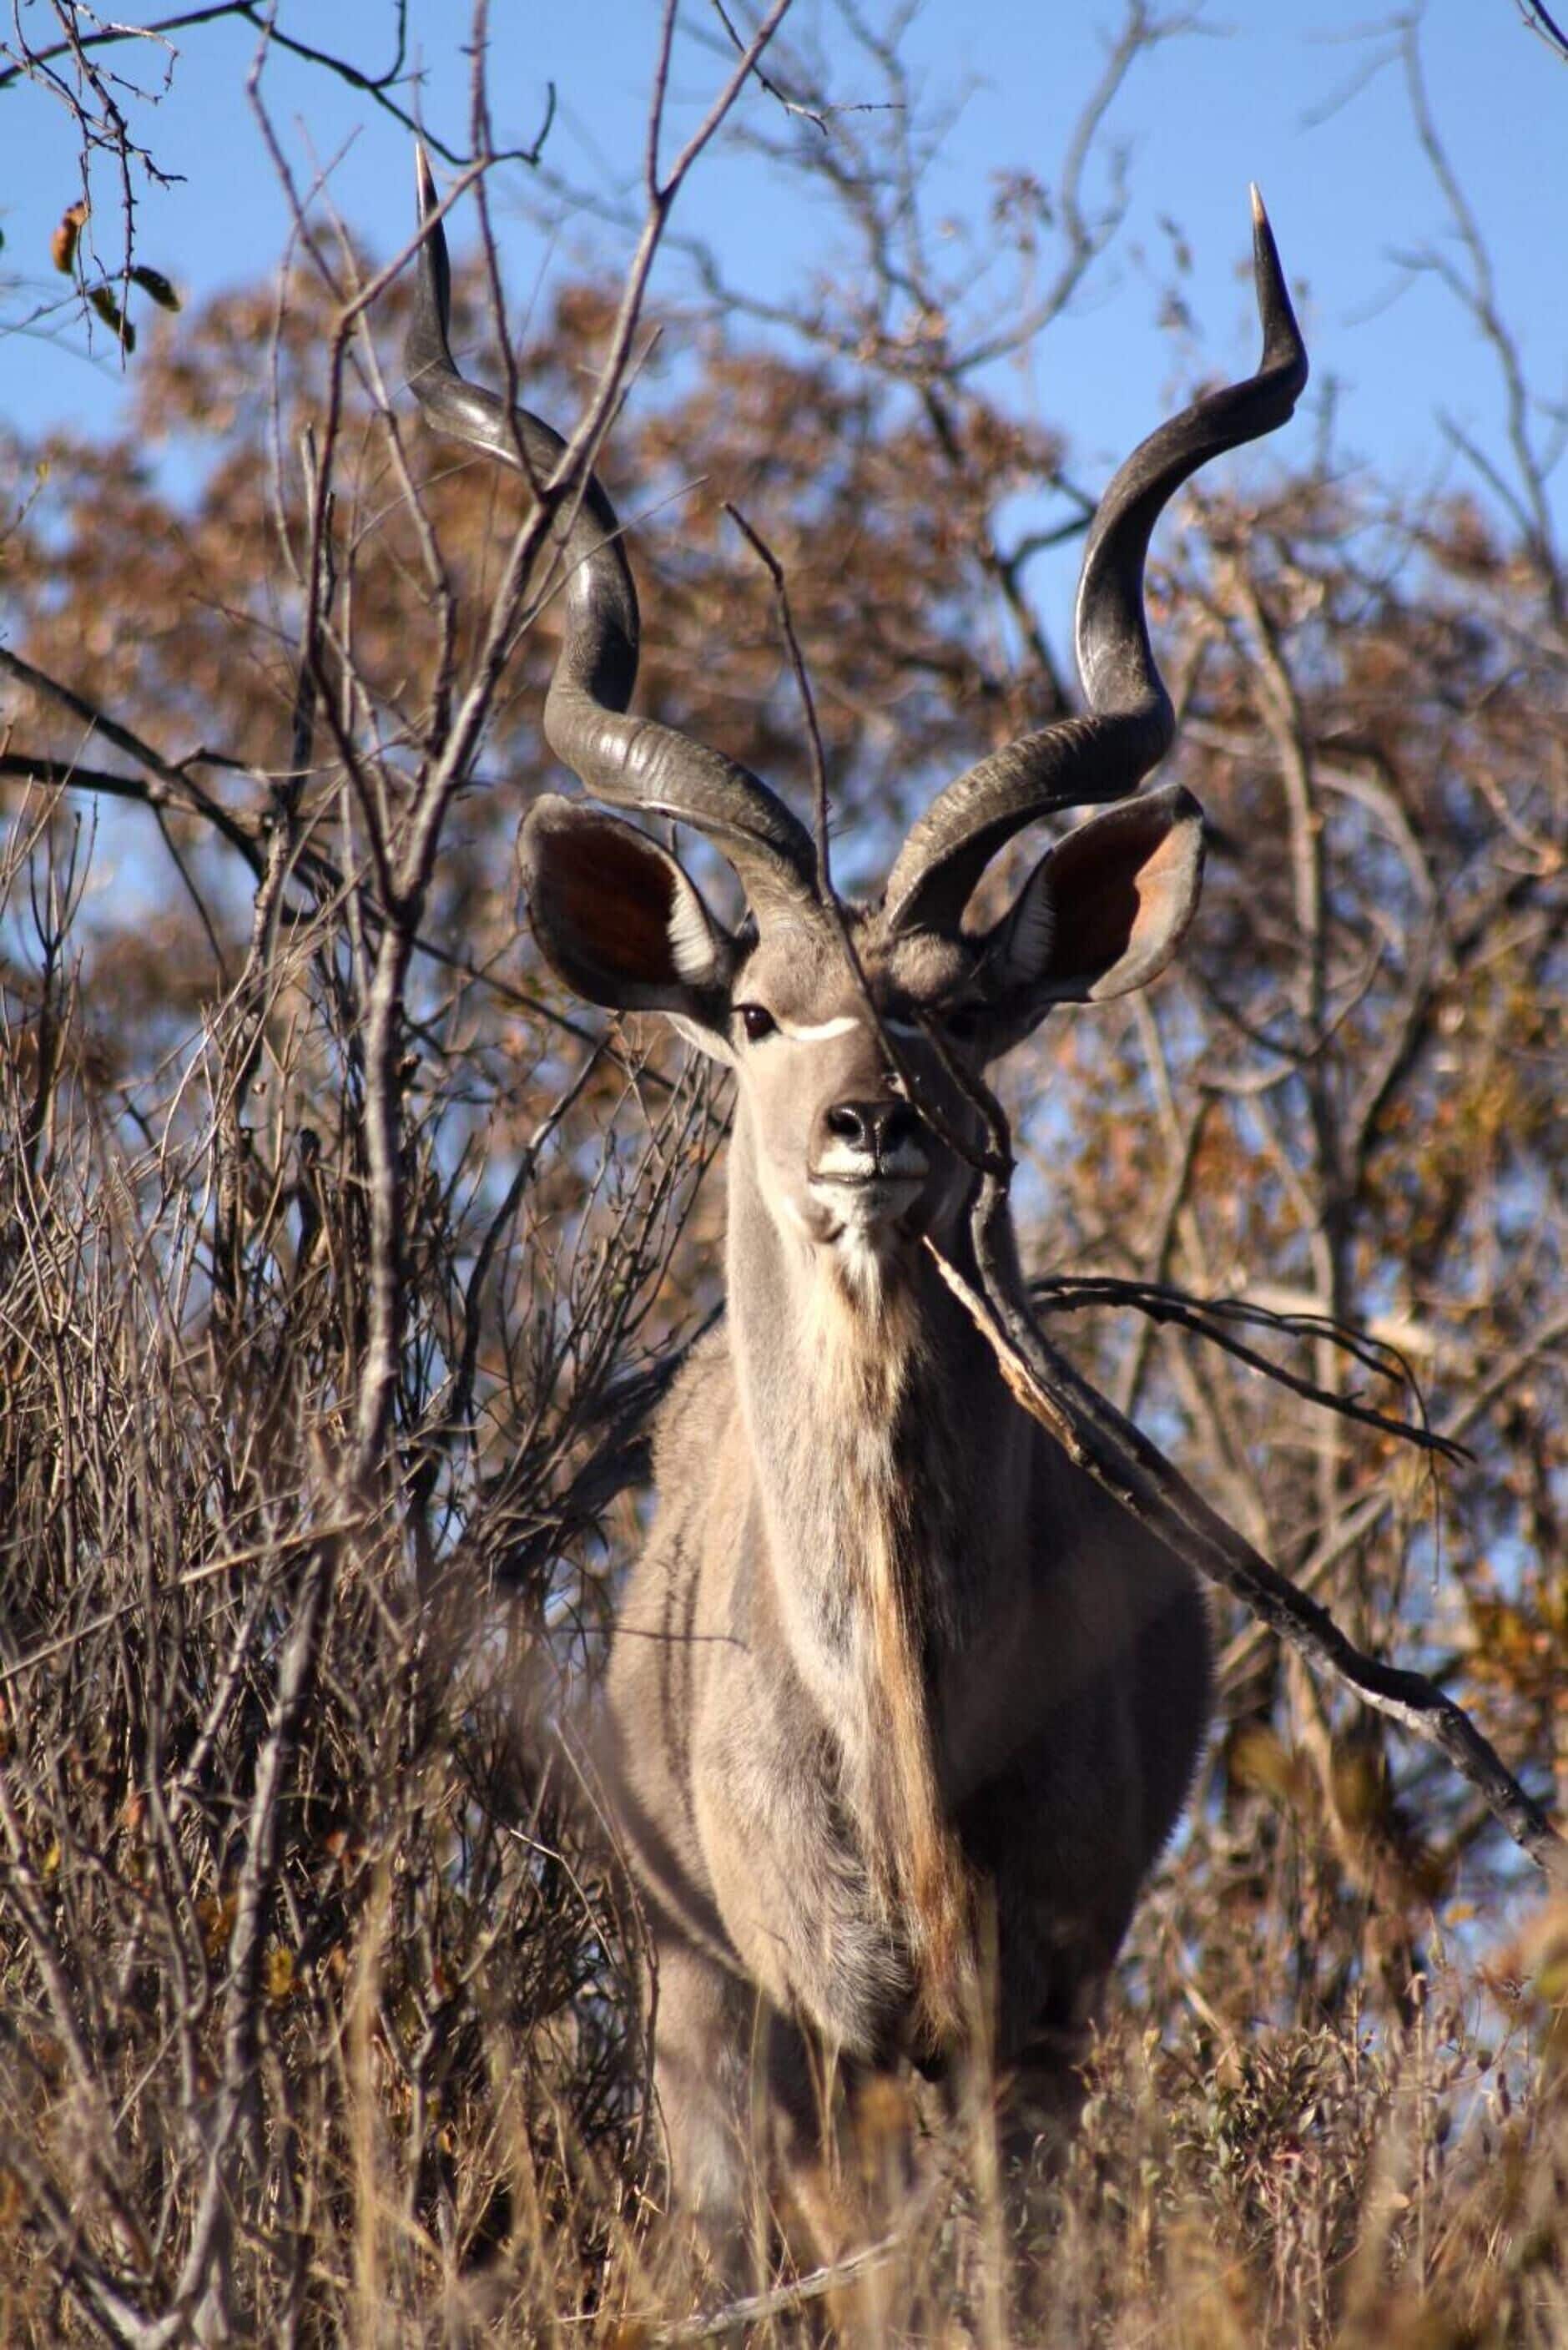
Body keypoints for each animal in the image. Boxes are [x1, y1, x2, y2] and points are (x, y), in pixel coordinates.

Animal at [405, 158, 1306, 2263]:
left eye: (966, 1008)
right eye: (753, 1012)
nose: (871, 1120)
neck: (894, 1718)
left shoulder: (1031, 2020)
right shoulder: (764, 2018)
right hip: (698, 1995)